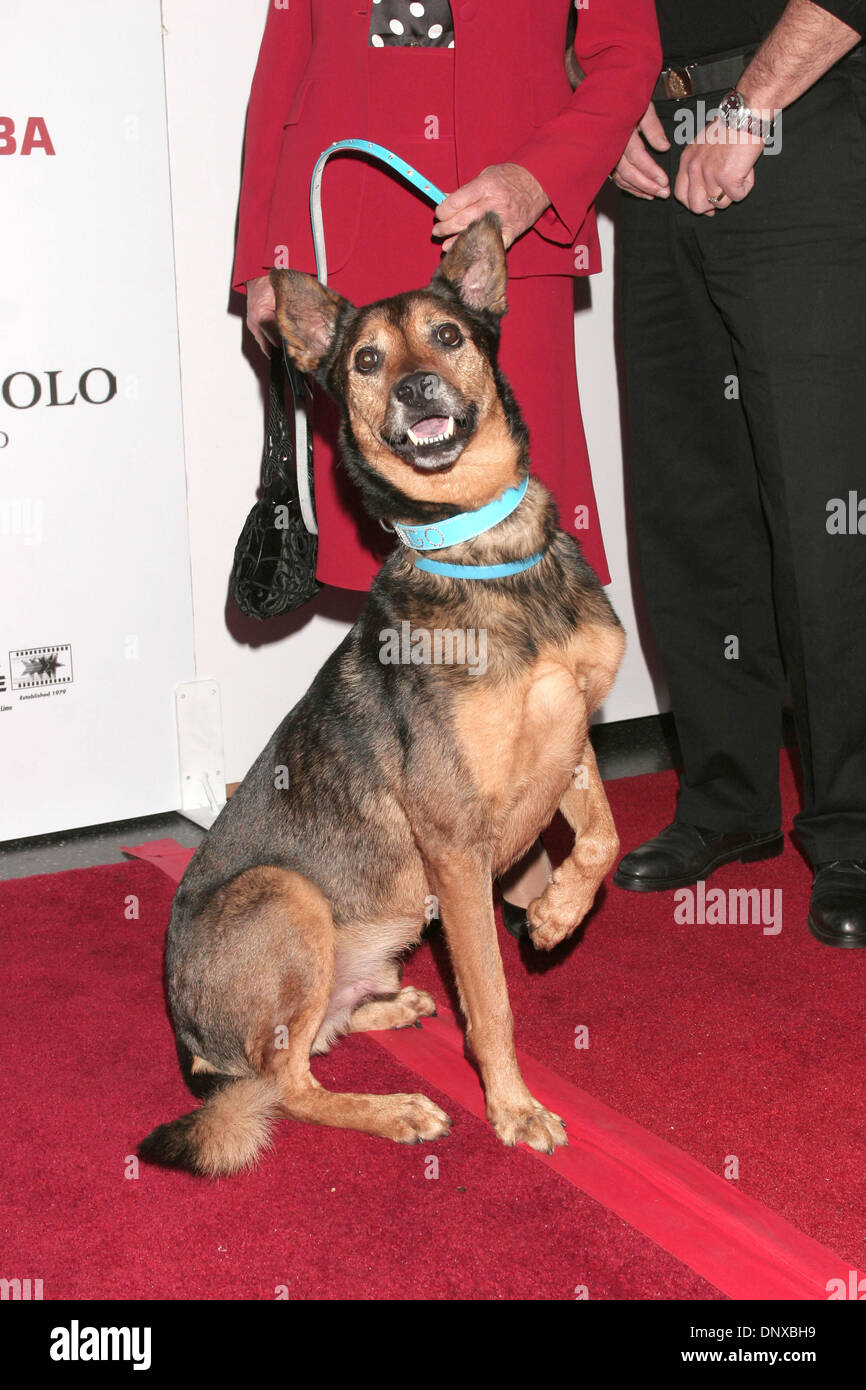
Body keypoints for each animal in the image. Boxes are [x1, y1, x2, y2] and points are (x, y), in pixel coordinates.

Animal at [140, 214, 622, 1173]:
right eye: (366, 360)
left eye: (448, 336)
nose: (415, 389)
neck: (488, 557)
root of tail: (192, 1048)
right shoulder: (454, 840)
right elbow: (492, 999)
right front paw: (513, 1107)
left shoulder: (573, 738)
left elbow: (604, 840)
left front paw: (556, 914)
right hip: (288, 896)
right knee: (286, 1085)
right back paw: (392, 1109)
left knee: (316, 1038)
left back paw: (388, 1005)